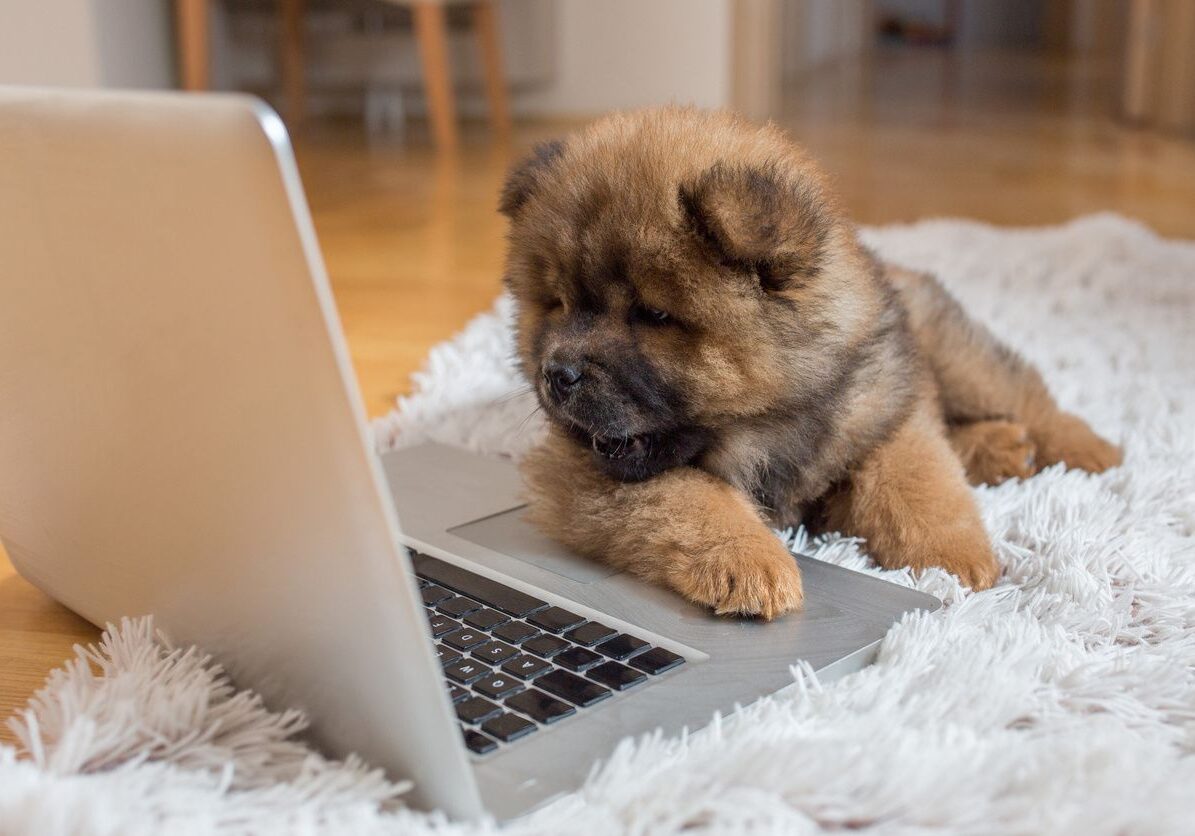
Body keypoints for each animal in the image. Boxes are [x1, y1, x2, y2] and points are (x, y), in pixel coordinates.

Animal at [499, 106, 1123, 621]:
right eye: (557, 303)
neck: (765, 426)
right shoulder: (580, 472)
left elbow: (915, 478)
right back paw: (1006, 448)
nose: (556, 375)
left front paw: (954, 559)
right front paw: (752, 562)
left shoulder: (886, 401)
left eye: (653, 314)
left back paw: (1087, 450)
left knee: (1024, 395)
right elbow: (688, 497)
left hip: (954, 353)